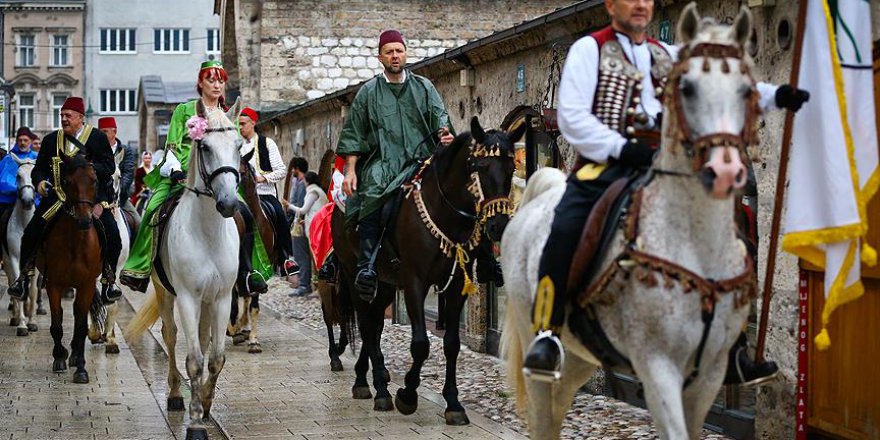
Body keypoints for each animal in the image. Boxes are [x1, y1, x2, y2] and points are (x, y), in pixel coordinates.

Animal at [35, 153, 102, 384]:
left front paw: (81, 368)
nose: (84, 220)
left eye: (94, 181)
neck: (75, 241)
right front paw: (59, 358)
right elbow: (56, 323)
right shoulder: (54, 283)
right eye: (67, 182)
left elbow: (81, 326)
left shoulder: (87, 284)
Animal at [124, 99, 241, 440]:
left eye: (239, 146)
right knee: (171, 335)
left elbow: (215, 358)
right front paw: (196, 421)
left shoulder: (222, 298)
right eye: (204, 146)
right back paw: (176, 395)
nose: (228, 204)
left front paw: (207, 402)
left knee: (200, 338)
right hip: (165, 293)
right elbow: (194, 361)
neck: (208, 233)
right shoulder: (188, 297)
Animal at [332, 116, 524, 422]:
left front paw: (453, 404)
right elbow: (421, 344)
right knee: (366, 324)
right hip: (354, 277)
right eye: (480, 166)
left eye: (511, 167)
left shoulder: (457, 286)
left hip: (386, 284)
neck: (445, 212)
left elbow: (452, 344)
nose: (498, 226)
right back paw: (377, 388)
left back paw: (372, 378)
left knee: (375, 324)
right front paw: (407, 394)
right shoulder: (415, 282)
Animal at [502, 5, 756, 438]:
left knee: (557, 407)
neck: (695, 243)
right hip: (530, 329)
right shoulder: (657, 367)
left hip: (580, 354)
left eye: (746, 89)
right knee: (541, 415)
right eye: (687, 87)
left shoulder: (710, 372)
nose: (725, 171)